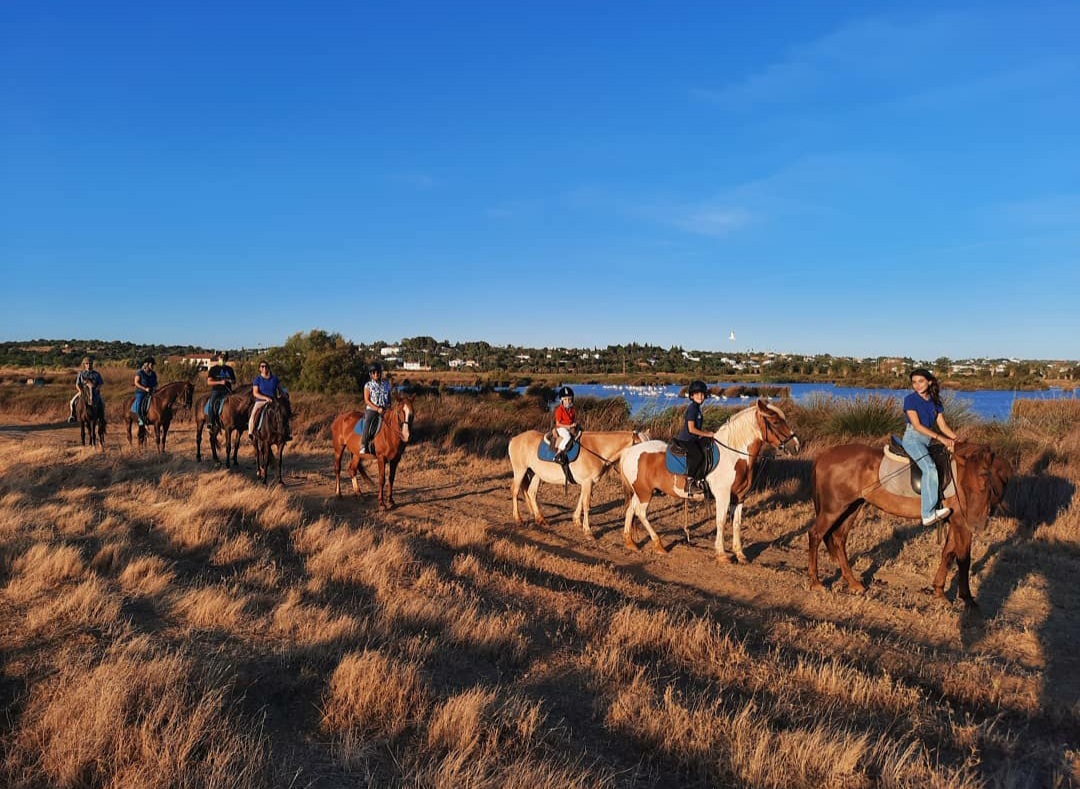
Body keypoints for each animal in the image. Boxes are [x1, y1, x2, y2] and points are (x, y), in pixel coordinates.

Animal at [509, 429, 651, 537]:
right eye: (640, 445)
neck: (597, 448)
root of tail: (514, 439)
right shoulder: (587, 482)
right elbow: (586, 504)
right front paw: (587, 530)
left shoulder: (587, 482)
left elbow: (581, 501)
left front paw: (576, 520)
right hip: (520, 470)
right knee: (515, 491)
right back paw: (518, 519)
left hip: (536, 474)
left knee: (531, 493)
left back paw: (540, 519)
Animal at [619, 399, 799, 558]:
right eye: (775, 421)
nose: (796, 446)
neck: (734, 455)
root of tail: (630, 451)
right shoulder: (723, 496)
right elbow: (721, 522)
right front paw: (721, 554)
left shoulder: (739, 497)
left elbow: (736, 524)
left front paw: (740, 554)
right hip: (645, 492)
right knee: (640, 512)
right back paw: (658, 545)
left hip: (640, 491)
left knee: (630, 510)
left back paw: (630, 542)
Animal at [808, 441, 1005, 606]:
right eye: (980, 477)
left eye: (987, 478)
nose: (977, 522)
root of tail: (825, 455)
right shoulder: (961, 524)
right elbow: (964, 559)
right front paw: (968, 600)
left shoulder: (956, 522)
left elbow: (948, 554)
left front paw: (940, 592)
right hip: (833, 509)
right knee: (815, 534)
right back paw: (816, 583)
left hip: (852, 507)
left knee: (839, 539)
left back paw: (853, 583)